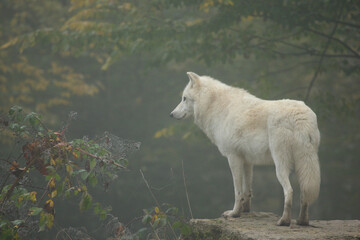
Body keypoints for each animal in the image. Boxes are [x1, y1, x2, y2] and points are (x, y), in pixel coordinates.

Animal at [172, 72, 320, 226]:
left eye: (184, 98)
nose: (171, 114)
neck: (216, 107)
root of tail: (301, 116)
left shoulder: (233, 158)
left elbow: (237, 191)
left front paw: (234, 213)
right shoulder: (248, 161)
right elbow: (247, 191)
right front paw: (245, 211)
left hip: (280, 165)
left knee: (289, 191)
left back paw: (284, 221)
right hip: (304, 164)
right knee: (305, 192)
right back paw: (302, 221)